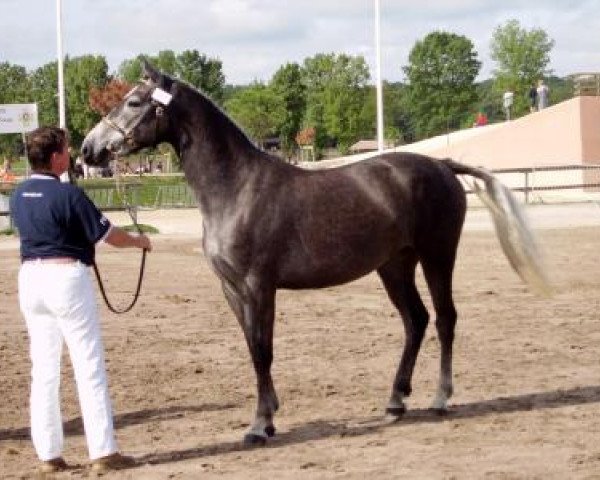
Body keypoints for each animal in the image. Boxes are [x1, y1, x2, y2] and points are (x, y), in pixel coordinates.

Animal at [82, 61, 552, 446]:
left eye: (134, 101)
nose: (89, 149)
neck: (237, 188)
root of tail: (443, 166)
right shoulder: (232, 289)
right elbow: (252, 349)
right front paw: (268, 416)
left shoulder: (259, 286)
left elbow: (263, 350)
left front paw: (259, 426)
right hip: (394, 265)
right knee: (415, 321)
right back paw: (396, 401)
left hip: (437, 256)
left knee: (445, 319)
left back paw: (439, 398)